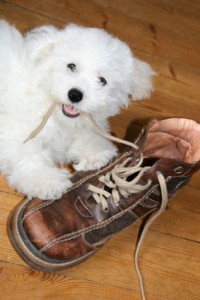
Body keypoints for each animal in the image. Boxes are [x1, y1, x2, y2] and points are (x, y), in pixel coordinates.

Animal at [0, 19, 155, 200]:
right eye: (71, 66)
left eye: (102, 80)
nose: (75, 95)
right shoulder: (16, 131)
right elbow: (29, 157)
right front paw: (48, 182)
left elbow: (84, 137)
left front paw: (96, 154)